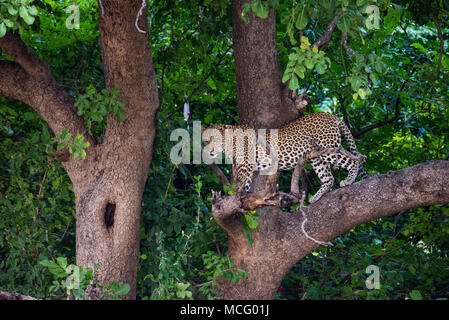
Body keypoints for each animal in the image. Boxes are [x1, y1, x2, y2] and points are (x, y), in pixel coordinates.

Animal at [201, 112, 366, 202]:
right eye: (206, 141)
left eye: (214, 139)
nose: (208, 151)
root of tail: (330, 115)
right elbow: (245, 184)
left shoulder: (245, 165)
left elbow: (240, 182)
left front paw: (233, 197)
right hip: (316, 158)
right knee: (328, 178)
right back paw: (315, 198)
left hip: (328, 148)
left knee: (353, 161)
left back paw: (348, 181)